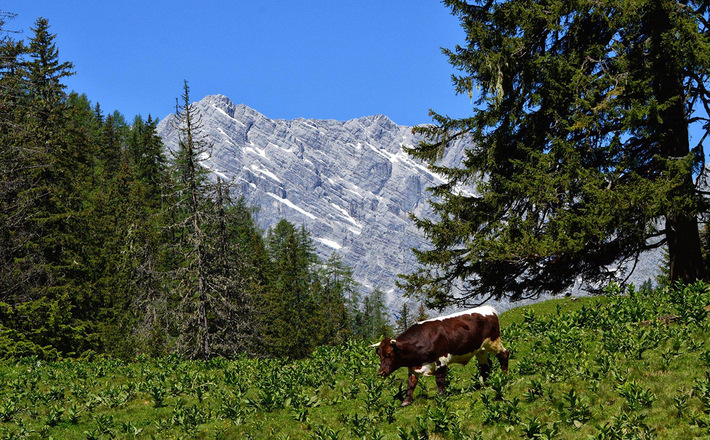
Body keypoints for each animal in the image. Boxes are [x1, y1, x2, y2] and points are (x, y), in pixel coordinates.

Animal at [371, 305, 509, 407]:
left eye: (389, 354)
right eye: (379, 354)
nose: (381, 372)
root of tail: (489, 308)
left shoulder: (441, 360)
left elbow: (439, 380)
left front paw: (441, 396)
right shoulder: (413, 366)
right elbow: (411, 384)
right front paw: (406, 401)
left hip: (493, 342)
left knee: (504, 354)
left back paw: (504, 376)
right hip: (480, 349)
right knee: (486, 366)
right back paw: (482, 385)